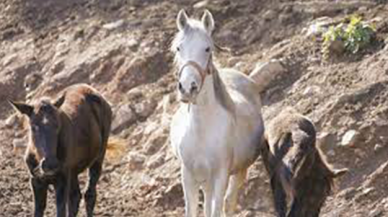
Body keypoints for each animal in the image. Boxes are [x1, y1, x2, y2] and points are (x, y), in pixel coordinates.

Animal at [9, 84, 113, 217]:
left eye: (57, 125)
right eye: (33, 127)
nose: (50, 164)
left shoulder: (61, 180)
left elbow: (61, 210)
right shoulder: (36, 180)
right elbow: (38, 210)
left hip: (98, 158)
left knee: (89, 194)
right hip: (73, 171)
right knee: (75, 196)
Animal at [171, 9, 266, 216]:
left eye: (207, 48)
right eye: (179, 48)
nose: (187, 88)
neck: (201, 130)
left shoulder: (220, 175)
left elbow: (218, 208)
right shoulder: (188, 176)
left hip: (238, 172)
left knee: (228, 203)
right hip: (205, 179)